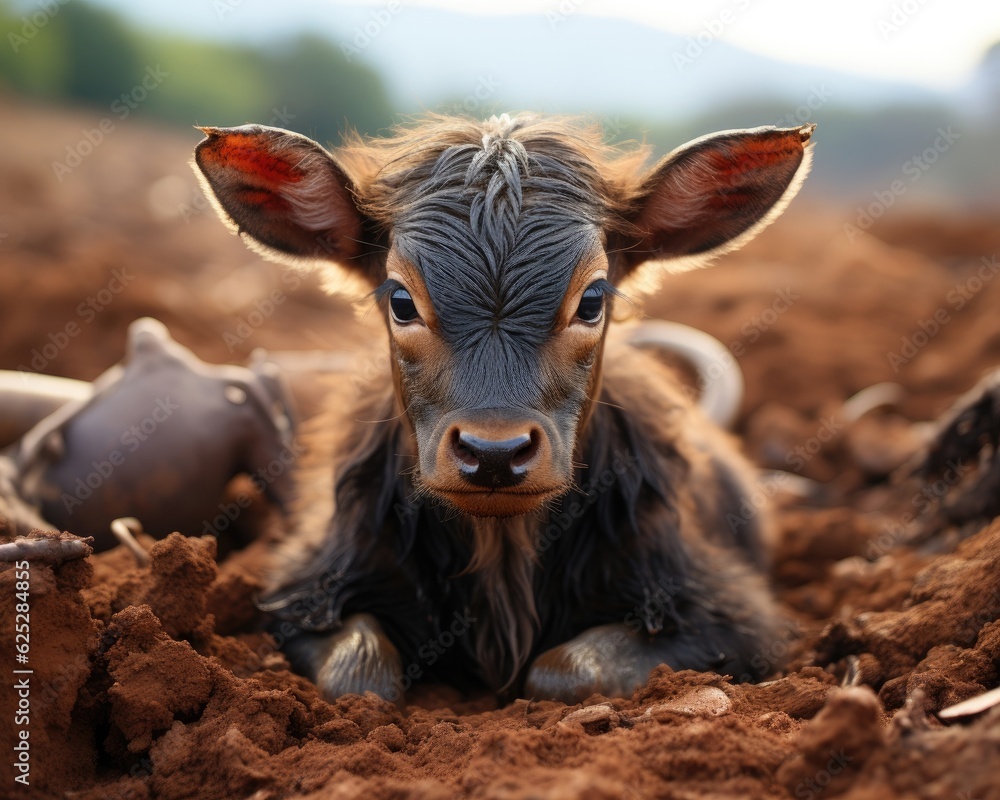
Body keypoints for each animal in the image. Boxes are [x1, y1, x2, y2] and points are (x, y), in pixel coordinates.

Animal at [195, 114, 813, 702]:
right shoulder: (303, 591)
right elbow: (359, 672)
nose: (494, 452)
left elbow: (565, 669)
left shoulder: (732, 616)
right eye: (401, 301)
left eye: (592, 300)